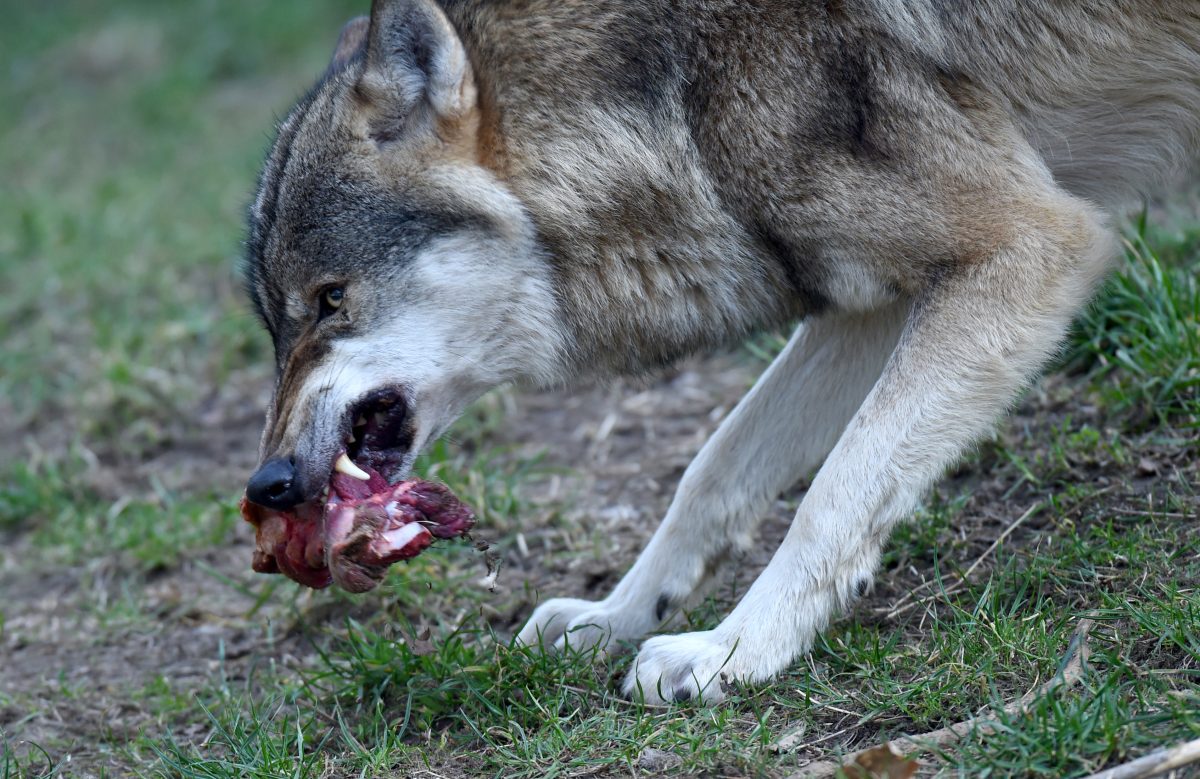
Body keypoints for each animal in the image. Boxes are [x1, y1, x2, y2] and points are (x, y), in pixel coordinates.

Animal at [241, 0, 1200, 705]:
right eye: (274, 326)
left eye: (330, 300)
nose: (268, 484)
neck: (677, 98)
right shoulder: (870, 303)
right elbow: (713, 468)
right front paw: (620, 614)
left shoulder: (1030, 244)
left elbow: (836, 491)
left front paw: (735, 650)